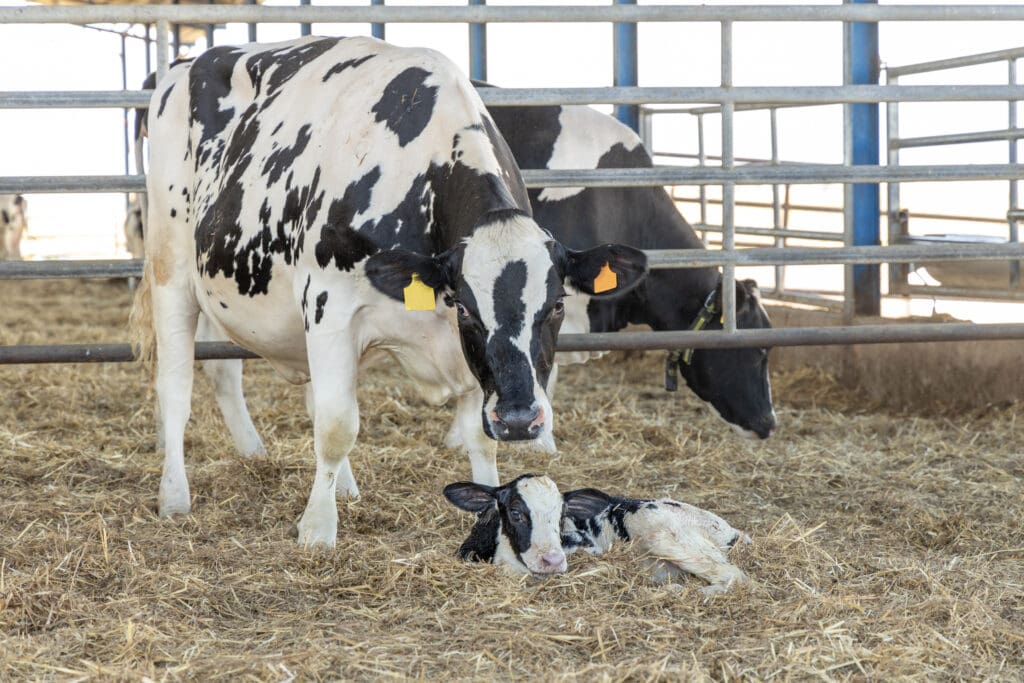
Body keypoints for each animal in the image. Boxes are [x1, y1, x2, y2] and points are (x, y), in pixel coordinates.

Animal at [134, 37, 647, 548]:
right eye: (467, 308)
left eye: (557, 304)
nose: (520, 420)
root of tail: (185, 64)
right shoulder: (330, 306)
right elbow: (337, 425)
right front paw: (317, 528)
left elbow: (478, 436)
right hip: (171, 268)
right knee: (176, 388)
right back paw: (175, 496)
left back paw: (333, 482)